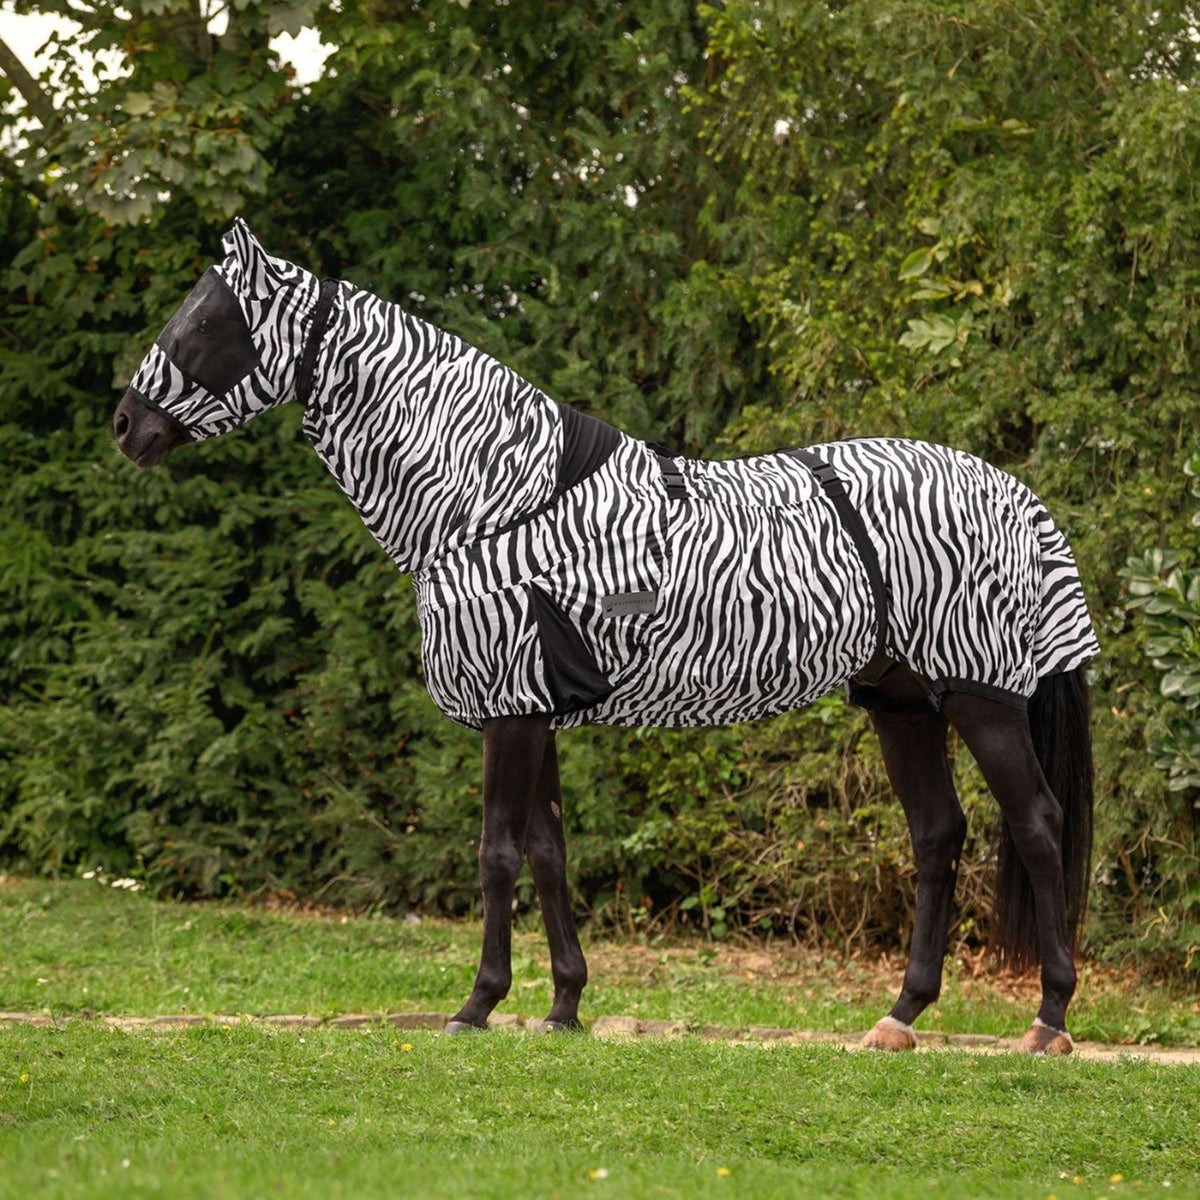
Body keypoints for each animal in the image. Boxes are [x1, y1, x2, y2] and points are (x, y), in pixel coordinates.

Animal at [113, 219, 1100, 1054]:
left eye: (206, 320)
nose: (126, 426)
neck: (492, 500)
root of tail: (1014, 492)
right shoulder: (533, 709)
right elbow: (548, 856)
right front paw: (563, 1005)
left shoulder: (510, 711)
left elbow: (496, 855)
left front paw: (478, 1005)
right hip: (901, 703)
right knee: (938, 835)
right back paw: (900, 1016)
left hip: (980, 698)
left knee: (1038, 825)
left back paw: (1049, 1019)